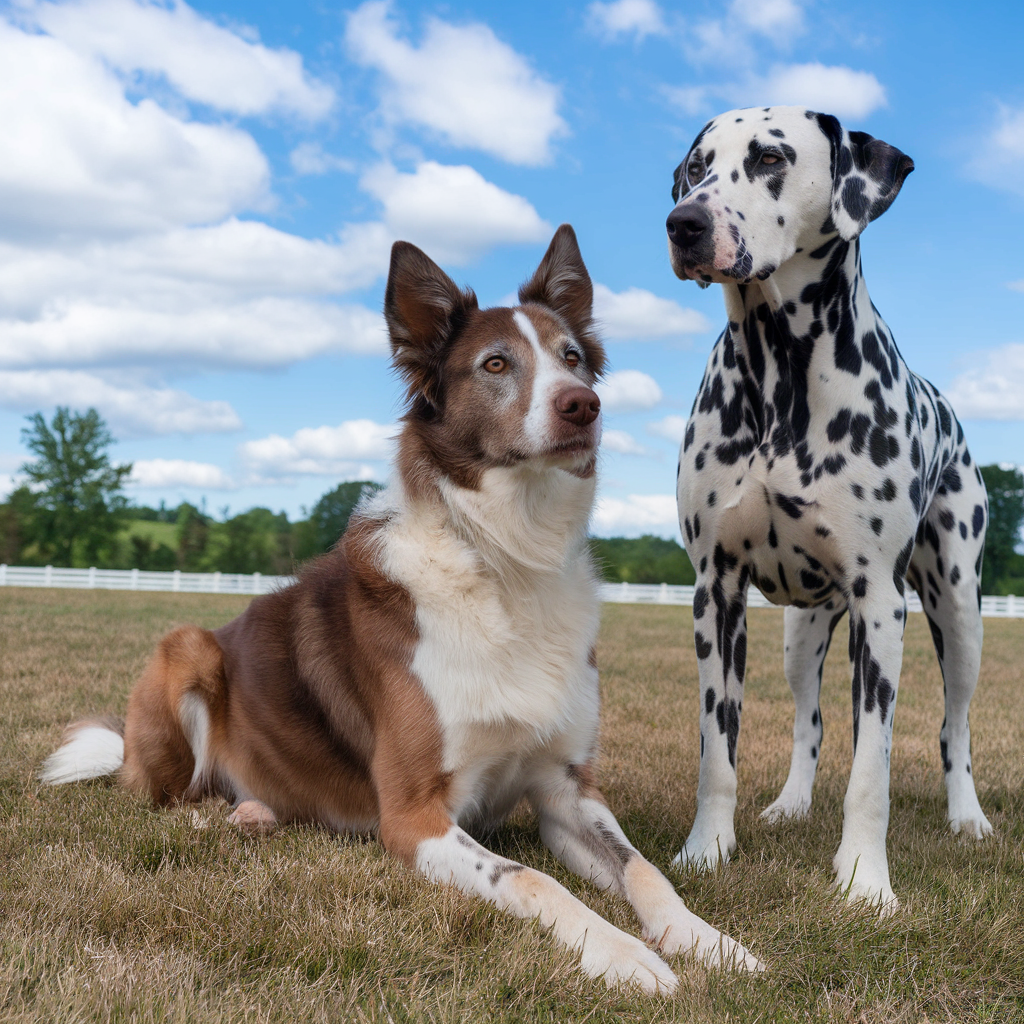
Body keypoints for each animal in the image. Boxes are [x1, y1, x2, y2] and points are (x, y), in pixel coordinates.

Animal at [39, 226, 761, 991]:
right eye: (496, 363)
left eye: (572, 359)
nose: (582, 407)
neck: (506, 559)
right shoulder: (414, 816)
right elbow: (528, 878)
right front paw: (624, 954)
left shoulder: (569, 791)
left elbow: (645, 870)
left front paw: (706, 939)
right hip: (186, 646)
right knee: (169, 794)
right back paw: (222, 814)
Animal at [663, 101, 991, 905]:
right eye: (696, 168)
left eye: (770, 158)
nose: (683, 223)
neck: (779, 373)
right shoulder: (715, 593)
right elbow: (717, 748)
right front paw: (706, 851)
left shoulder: (880, 600)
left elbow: (872, 770)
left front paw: (865, 882)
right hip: (801, 634)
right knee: (809, 725)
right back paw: (790, 804)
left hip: (956, 613)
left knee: (954, 729)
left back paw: (967, 817)